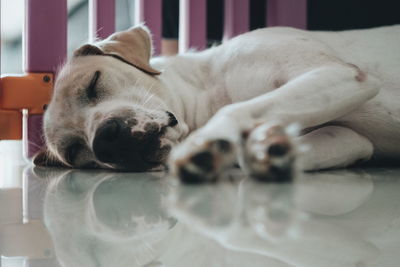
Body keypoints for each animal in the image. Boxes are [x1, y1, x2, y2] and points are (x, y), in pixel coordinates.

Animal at [33, 25, 400, 183]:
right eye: (76, 152)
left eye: (93, 83)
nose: (107, 140)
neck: (207, 90)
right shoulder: (351, 139)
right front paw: (268, 148)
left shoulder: (342, 75)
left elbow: (234, 110)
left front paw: (207, 141)